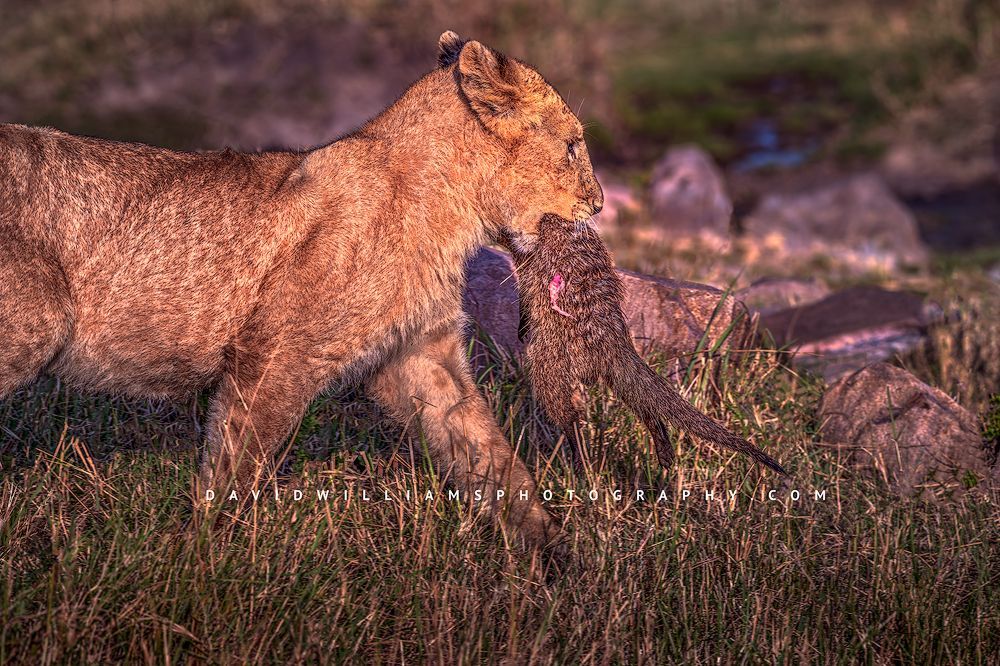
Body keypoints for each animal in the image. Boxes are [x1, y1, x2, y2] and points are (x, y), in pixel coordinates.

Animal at [0, 31, 603, 552]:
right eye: (573, 146)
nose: (598, 204)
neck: (453, 210)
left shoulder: (421, 355)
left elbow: (488, 450)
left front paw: (553, 552)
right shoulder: (278, 352)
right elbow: (237, 464)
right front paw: (203, 558)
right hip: (36, 324)